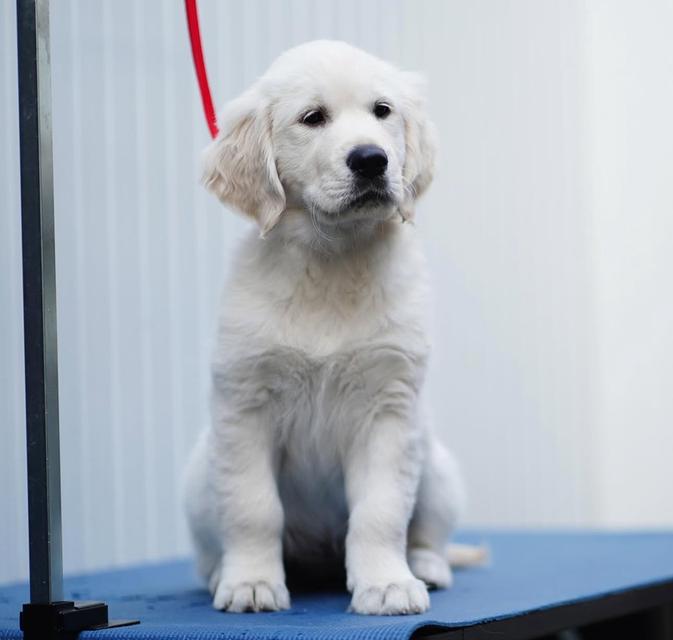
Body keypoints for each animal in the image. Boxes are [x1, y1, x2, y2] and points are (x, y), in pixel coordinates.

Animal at [181, 38, 470, 616]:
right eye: (313, 117)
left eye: (383, 111)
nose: (371, 159)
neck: (333, 260)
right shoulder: (245, 405)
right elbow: (252, 508)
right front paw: (251, 582)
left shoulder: (389, 408)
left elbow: (381, 511)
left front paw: (387, 584)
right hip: (200, 475)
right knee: (210, 544)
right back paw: (221, 571)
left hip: (437, 466)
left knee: (427, 532)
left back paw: (426, 568)